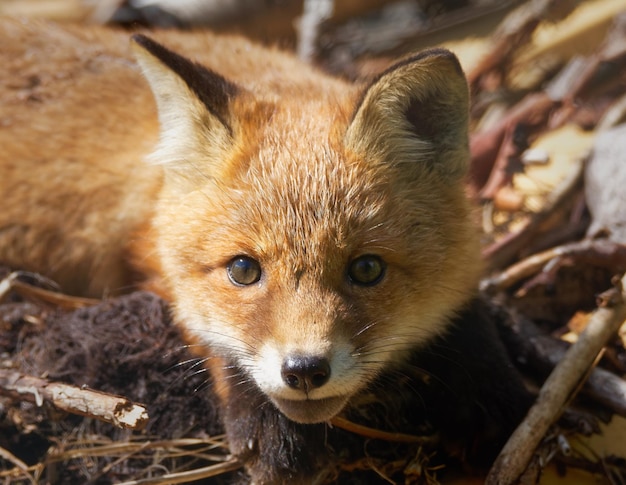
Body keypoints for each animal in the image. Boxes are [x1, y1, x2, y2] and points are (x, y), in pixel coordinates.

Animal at [1, 18, 528, 480]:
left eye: (367, 268)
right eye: (242, 269)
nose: (305, 371)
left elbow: (463, 312)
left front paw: (490, 395)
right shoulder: (141, 252)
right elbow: (212, 339)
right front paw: (269, 428)